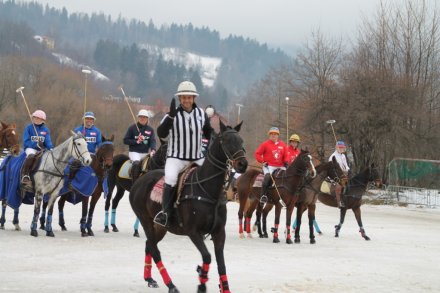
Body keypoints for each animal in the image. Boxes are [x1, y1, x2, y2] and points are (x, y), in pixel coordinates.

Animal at [130, 121, 248, 292]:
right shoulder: (193, 232)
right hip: (146, 221)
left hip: (160, 227)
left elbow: (221, 264)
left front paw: (223, 287)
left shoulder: (219, 232)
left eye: (241, 141)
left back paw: (150, 279)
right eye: (225, 141)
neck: (208, 189)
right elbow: (207, 257)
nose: (243, 164)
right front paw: (201, 283)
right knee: (154, 249)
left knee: (149, 246)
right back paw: (171, 284)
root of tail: (140, 180)